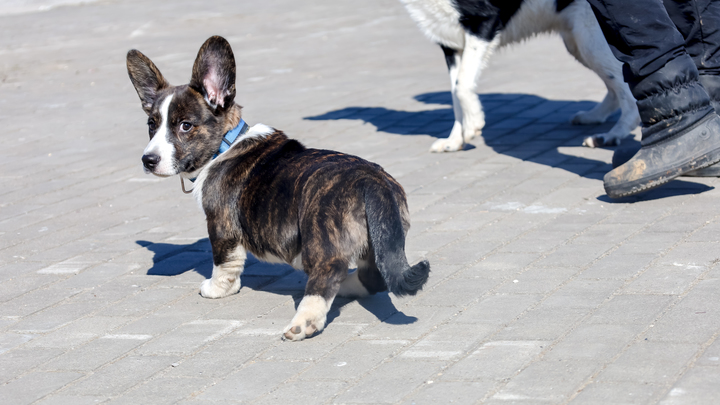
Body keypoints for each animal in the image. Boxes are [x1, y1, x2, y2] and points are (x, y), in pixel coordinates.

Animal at [126, 36, 430, 340]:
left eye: (186, 126)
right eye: (151, 125)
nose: (148, 160)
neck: (225, 143)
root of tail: (372, 182)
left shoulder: (221, 225)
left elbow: (224, 261)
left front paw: (217, 289)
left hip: (321, 237)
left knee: (328, 273)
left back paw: (305, 322)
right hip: (381, 239)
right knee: (374, 276)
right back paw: (347, 287)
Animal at [400, 0, 640, 152]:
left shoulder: (482, 22)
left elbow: (462, 86)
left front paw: (474, 123)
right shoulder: (451, 45)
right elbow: (455, 93)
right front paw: (456, 140)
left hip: (590, 37)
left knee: (625, 86)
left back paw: (613, 134)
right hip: (579, 42)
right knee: (614, 85)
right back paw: (595, 117)